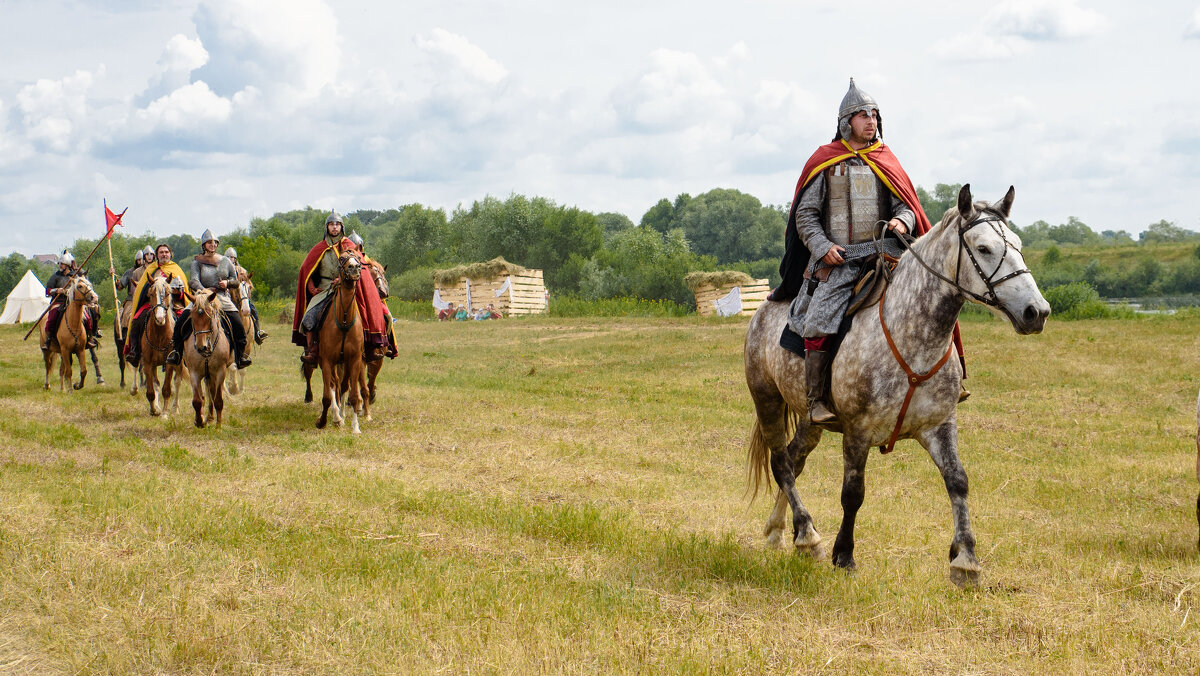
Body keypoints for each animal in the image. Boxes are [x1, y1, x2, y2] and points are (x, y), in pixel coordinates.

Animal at [138, 274, 184, 417]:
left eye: (168, 293)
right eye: (151, 294)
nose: (160, 319)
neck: (159, 335)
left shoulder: (170, 363)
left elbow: (167, 389)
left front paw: (164, 413)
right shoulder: (148, 364)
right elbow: (151, 390)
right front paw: (154, 410)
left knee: (177, 381)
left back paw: (175, 408)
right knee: (156, 383)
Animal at [183, 289, 235, 427]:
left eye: (210, 315)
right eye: (192, 317)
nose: (201, 347)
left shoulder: (220, 372)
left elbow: (218, 400)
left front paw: (218, 426)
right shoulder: (194, 372)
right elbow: (197, 400)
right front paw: (199, 421)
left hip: (212, 374)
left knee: (211, 392)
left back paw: (211, 418)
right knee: (205, 394)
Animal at [314, 249, 364, 434]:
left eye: (358, 257)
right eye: (342, 258)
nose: (354, 268)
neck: (343, 320)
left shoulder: (354, 360)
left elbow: (354, 395)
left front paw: (356, 427)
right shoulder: (327, 361)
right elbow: (327, 396)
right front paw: (322, 421)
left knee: (341, 385)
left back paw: (341, 415)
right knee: (333, 384)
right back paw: (336, 417)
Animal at [748, 184, 1051, 588]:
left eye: (1017, 244)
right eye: (984, 248)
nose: (1037, 312)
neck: (914, 334)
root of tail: (764, 309)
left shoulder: (939, 426)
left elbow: (958, 482)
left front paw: (966, 561)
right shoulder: (857, 432)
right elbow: (853, 494)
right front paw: (844, 556)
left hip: (811, 420)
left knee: (795, 461)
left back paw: (783, 532)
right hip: (766, 399)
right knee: (781, 462)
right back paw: (808, 534)